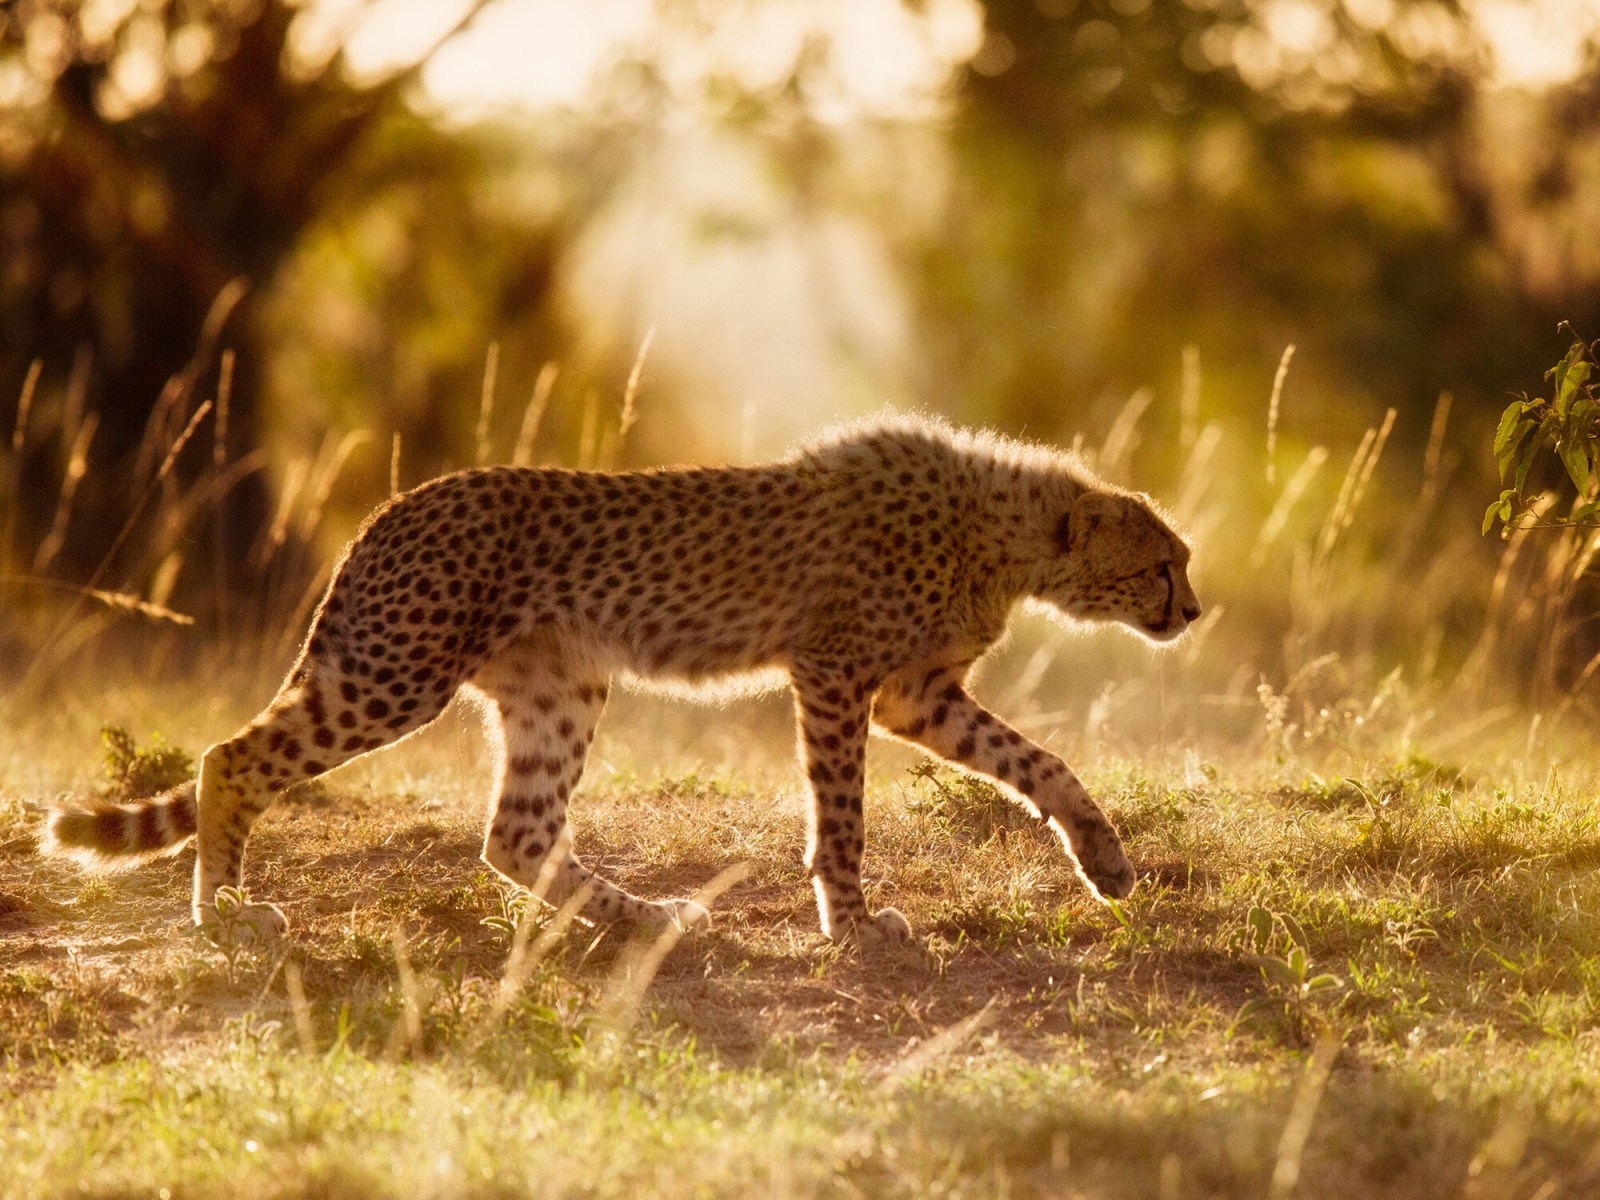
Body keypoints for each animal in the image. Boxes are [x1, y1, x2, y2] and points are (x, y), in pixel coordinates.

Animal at [46, 419, 1203, 953]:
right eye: (1162, 564)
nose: (1193, 612)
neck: (1007, 534)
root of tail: (395, 503)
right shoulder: (837, 675)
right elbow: (841, 816)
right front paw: (851, 919)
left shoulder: (914, 694)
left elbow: (1039, 763)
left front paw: (1104, 860)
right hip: (394, 674)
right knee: (229, 756)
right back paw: (226, 911)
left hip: (557, 690)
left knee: (513, 836)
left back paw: (646, 920)